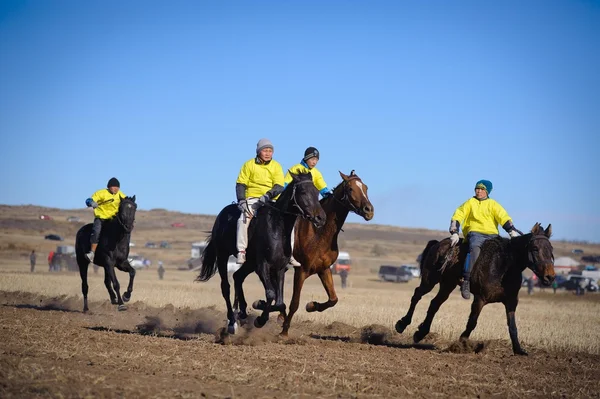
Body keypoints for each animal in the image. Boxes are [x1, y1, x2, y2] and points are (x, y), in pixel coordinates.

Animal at [198, 173, 326, 332]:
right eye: (303, 192)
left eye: (317, 192)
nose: (321, 218)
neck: (277, 228)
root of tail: (221, 215)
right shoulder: (262, 266)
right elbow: (271, 294)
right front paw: (260, 318)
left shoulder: (279, 268)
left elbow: (280, 302)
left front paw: (259, 305)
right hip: (223, 256)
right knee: (225, 287)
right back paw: (232, 321)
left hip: (249, 263)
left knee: (237, 277)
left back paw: (242, 311)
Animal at [278, 170, 372, 336]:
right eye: (350, 189)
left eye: (366, 188)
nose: (369, 210)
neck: (319, 232)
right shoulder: (301, 270)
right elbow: (295, 302)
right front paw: (284, 331)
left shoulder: (324, 269)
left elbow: (333, 299)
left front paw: (312, 305)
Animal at [396, 222, 556, 356]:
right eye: (535, 248)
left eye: (551, 249)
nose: (550, 277)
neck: (504, 265)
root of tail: (438, 244)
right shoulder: (480, 299)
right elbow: (472, 322)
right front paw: (461, 344)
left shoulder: (511, 302)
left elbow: (512, 326)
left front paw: (519, 350)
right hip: (430, 280)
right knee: (417, 295)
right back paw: (402, 324)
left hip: (447, 285)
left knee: (435, 304)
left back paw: (421, 333)